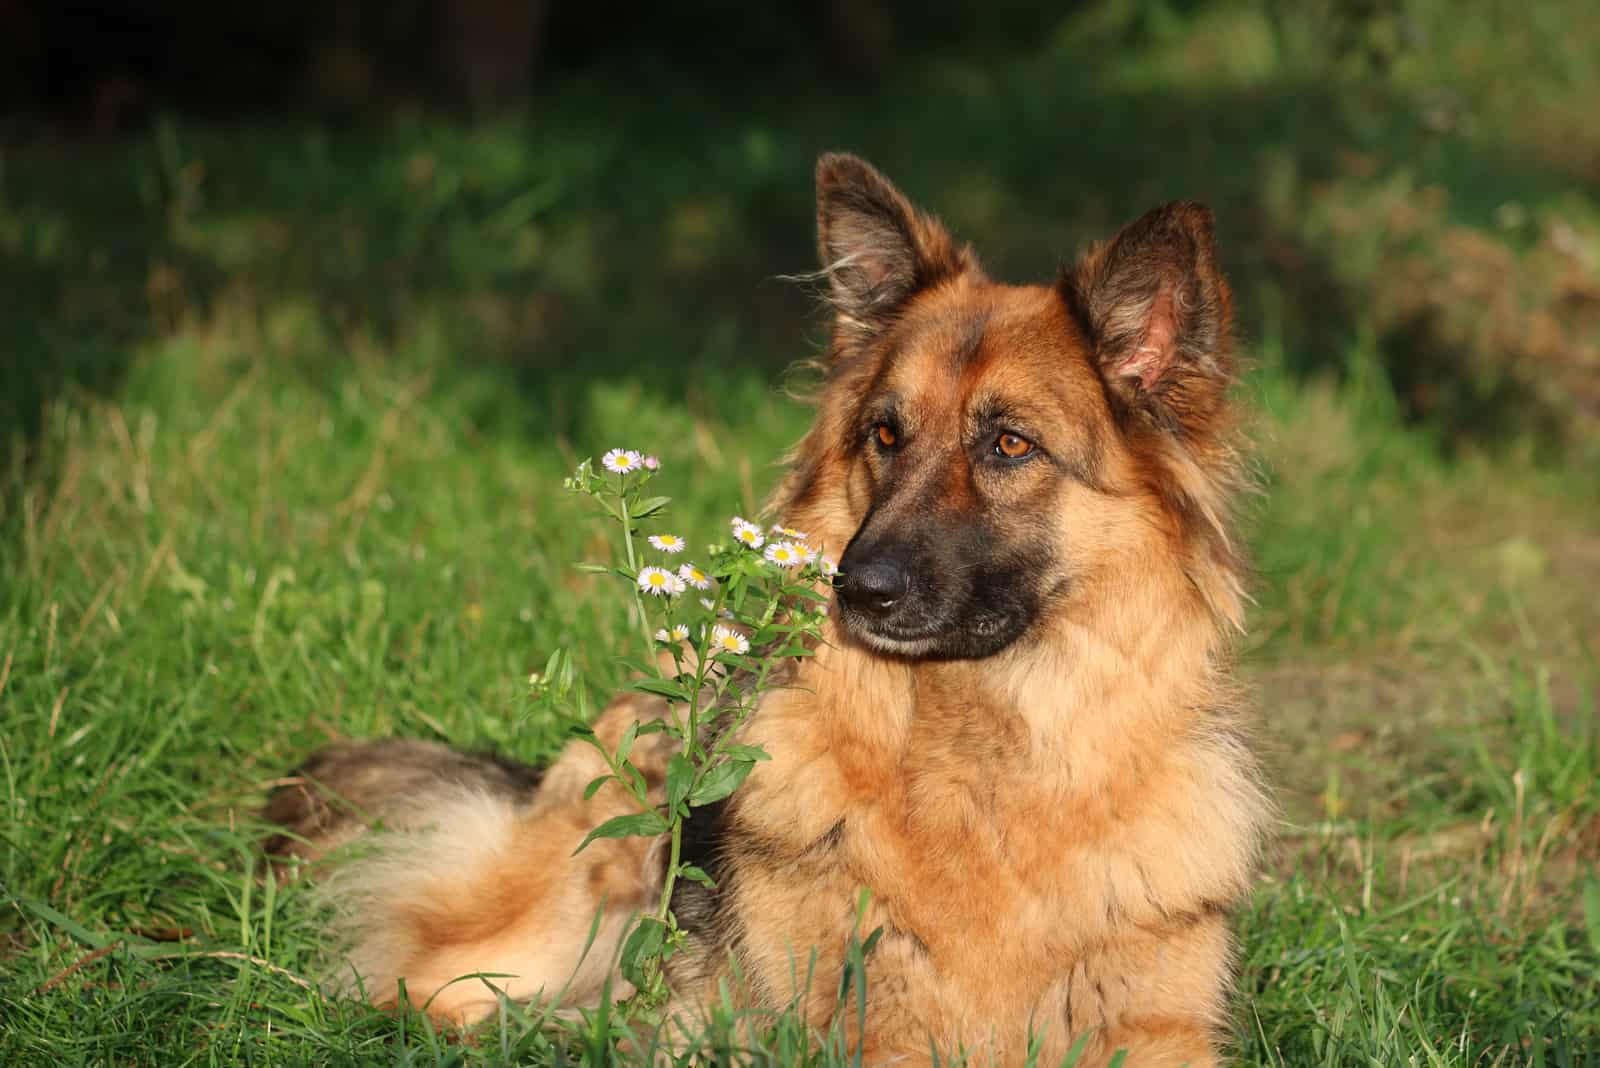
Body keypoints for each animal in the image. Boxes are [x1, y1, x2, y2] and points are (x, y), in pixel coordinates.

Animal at [272, 154, 1273, 1061]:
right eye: (884, 434)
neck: (984, 762)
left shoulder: (1159, 1024)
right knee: (412, 987)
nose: (857, 586)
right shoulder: (873, 1031)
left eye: (1010, 445)